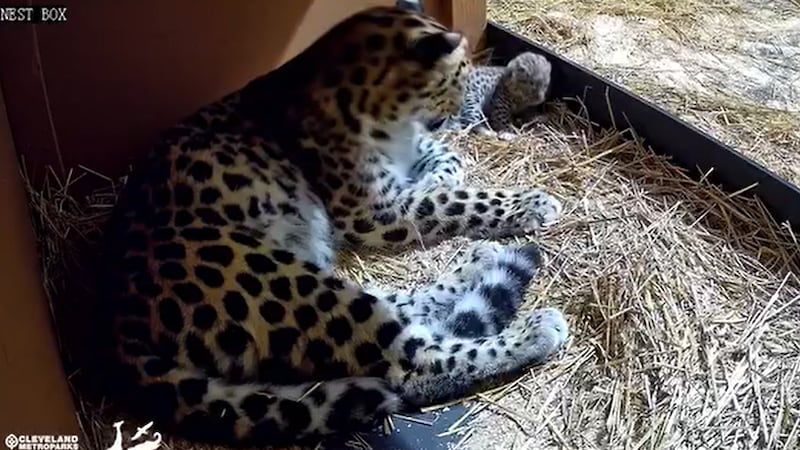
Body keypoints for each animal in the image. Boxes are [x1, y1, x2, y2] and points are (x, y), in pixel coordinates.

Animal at [97, 6, 569, 447]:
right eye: (458, 75)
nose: (458, 115)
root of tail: (116, 319)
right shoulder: (373, 210)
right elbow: (452, 200)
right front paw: (532, 201)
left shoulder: (416, 156)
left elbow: (447, 167)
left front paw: (440, 178)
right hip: (269, 276)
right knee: (412, 363)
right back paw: (533, 329)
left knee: (399, 306)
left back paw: (479, 260)